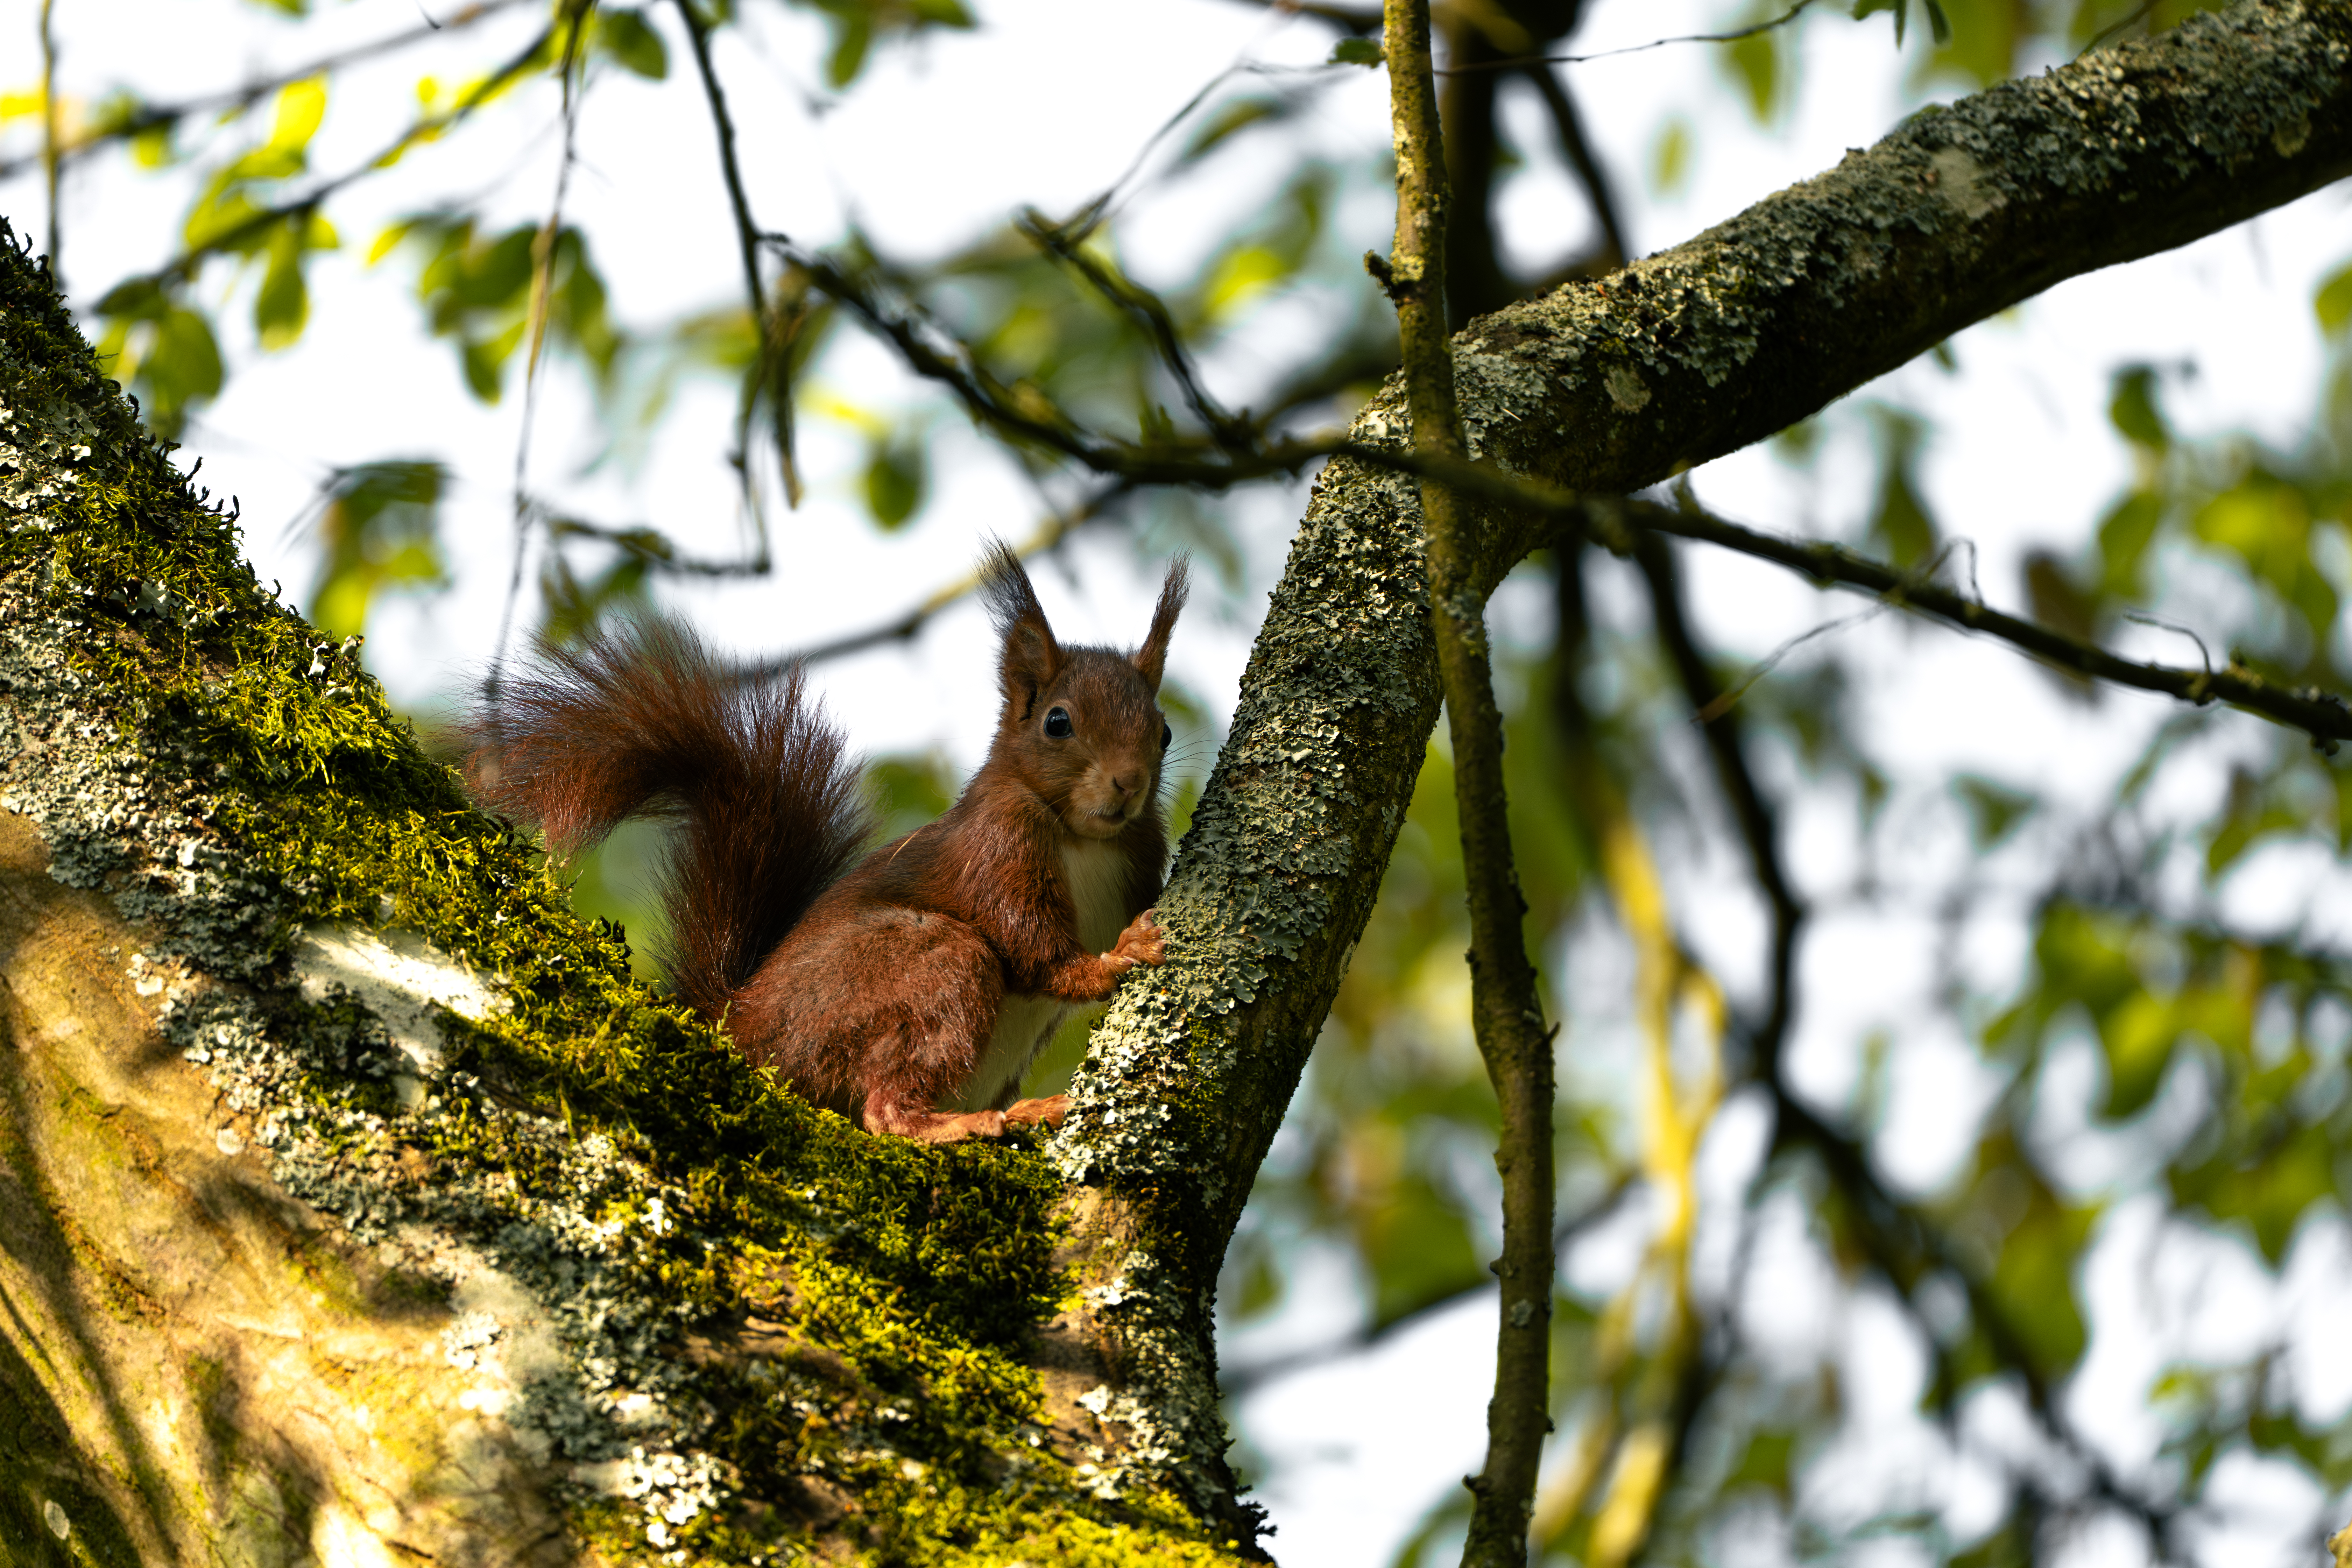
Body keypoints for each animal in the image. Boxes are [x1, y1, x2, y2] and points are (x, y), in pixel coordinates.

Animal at [460, 543, 1188, 1143]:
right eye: (1057, 723)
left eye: (1164, 731)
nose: (1127, 784)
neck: (1083, 836)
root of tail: (740, 1023)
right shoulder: (998, 844)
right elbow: (1032, 942)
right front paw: (1120, 955)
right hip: (916, 971)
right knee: (886, 1107)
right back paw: (957, 1124)